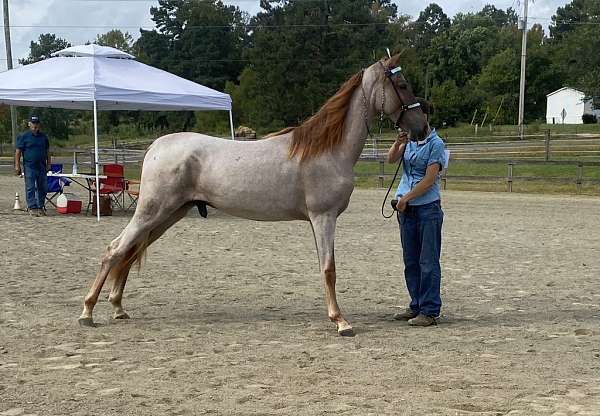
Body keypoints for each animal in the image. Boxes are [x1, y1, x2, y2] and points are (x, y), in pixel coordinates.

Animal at [78, 54, 426, 338]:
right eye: (403, 84)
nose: (422, 127)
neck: (327, 149)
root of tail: (155, 147)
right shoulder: (323, 217)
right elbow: (329, 270)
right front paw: (341, 322)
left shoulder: (318, 221)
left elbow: (323, 267)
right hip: (152, 212)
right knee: (114, 250)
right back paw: (87, 312)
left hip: (168, 215)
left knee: (129, 252)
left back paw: (118, 307)